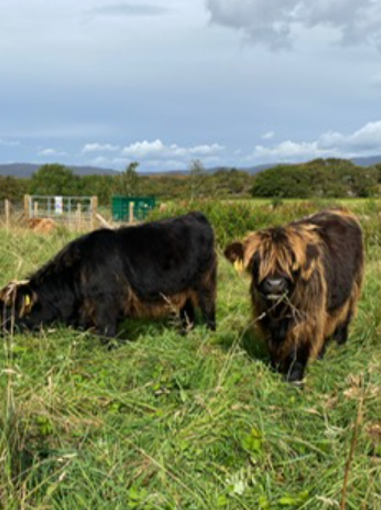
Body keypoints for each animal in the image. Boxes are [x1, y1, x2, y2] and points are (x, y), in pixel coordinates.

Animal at [0, 213, 217, 340]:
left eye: (8, 309)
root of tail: (196, 216)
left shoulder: (108, 304)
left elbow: (108, 335)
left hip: (205, 284)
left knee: (208, 310)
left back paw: (210, 334)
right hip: (182, 290)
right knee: (187, 314)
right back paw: (185, 335)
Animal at [224, 208, 364, 382]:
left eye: (292, 261)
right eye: (256, 260)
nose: (275, 284)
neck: (279, 312)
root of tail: (341, 209)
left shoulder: (307, 317)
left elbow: (299, 347)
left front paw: (294, 378)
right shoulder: (265, 318)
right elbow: (273, 345)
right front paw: (274, 368)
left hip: (353, 289)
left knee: (345, 318)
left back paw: (340, 343)